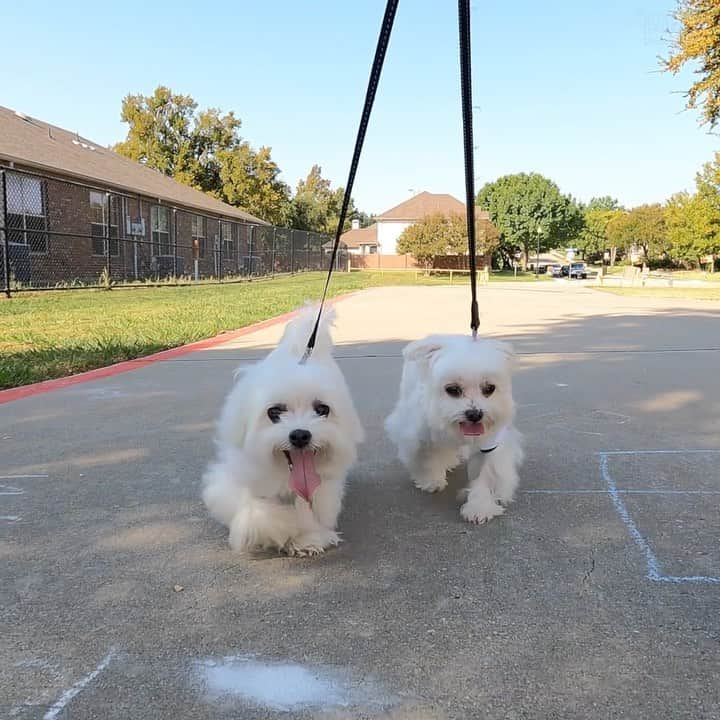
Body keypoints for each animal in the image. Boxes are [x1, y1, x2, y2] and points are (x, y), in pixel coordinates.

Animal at [202, 306, 362, 560]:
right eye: (274, 412)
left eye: (322, 410)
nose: (300, 435)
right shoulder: (230, 477)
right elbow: (253, 507)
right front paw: (280, 526)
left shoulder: (321, 486)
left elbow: (306, 507)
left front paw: (306, 537)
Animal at [388, 332, 524, 524]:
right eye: (452, 389)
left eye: (489, 388)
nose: (474, 414)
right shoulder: (422, 436)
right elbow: (428, 459)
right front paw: (432, 480)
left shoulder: (488, 445)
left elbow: (483, 474)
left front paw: (479, 506)